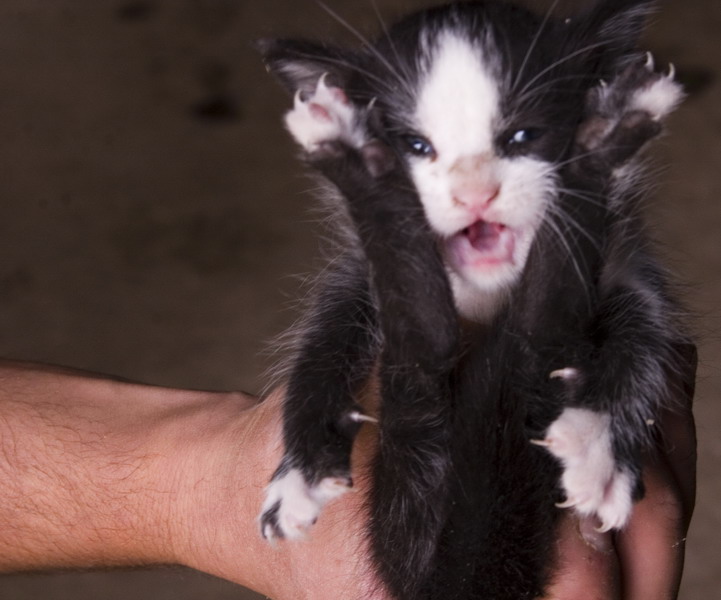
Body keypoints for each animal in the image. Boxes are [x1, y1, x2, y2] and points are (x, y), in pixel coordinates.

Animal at [256, 2, 688, 596]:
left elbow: (641, 339)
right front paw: (299, 473)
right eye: (416, 147)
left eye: (524, 135)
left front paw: (602, 448)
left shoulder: (630, 271)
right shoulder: (355, 280)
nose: (474, 194)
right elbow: (323, 341)